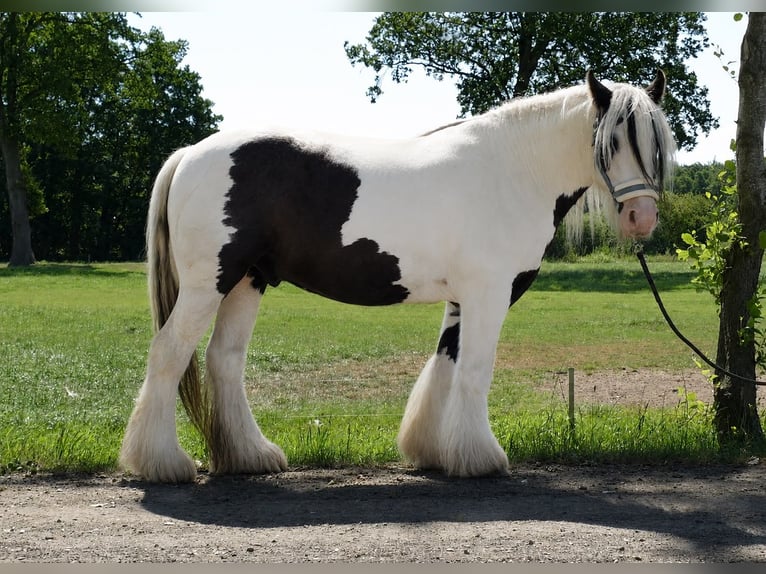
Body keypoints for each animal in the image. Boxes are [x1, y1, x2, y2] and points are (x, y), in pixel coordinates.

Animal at [120, 70, 676, 483]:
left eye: (655, 145)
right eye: (609, 142)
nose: (641, 219)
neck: (512, 172)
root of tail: (189, 154)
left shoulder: (462, 300)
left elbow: (445, 367)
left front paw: (433, 450)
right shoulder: (489, 294)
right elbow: (475, 370)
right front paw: (481, 458)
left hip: (246, 281)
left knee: (224, 361)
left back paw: (250, 456)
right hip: (207, 283)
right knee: (169, 353)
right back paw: (163, 463)